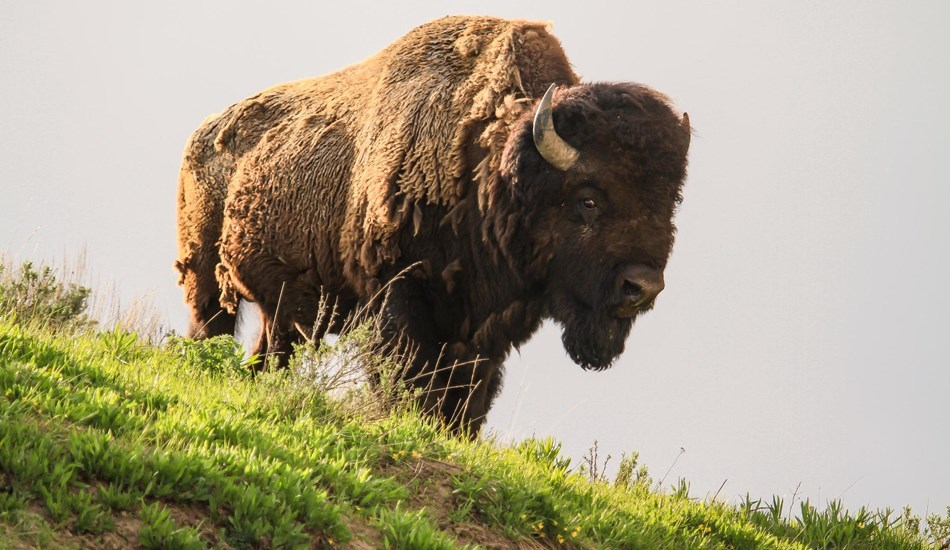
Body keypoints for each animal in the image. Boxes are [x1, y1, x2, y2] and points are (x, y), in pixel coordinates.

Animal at [175, 15, 692, 434]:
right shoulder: (397, 295)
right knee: (211, 325)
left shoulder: (482, 334)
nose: (642, 287)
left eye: (670, 204)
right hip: (204, 276)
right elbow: (406, 377)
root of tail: (202, 134)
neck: (489, 168)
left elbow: (468, 399)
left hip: (286, 312)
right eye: (588, 199)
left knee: (270, 351)